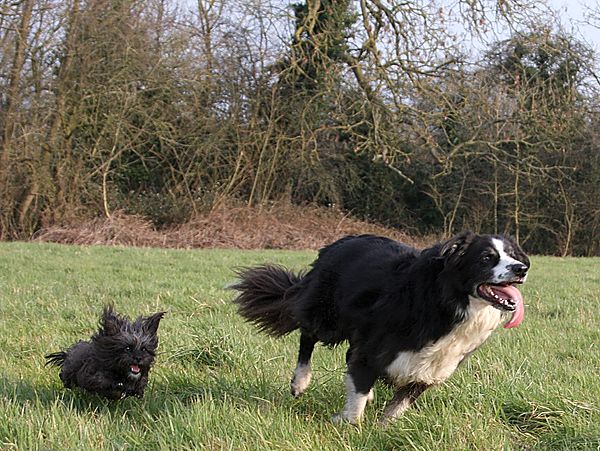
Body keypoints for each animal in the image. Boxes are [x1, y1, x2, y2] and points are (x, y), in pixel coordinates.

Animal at [232, 233, 528, 424]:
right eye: (486, 258)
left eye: (513, 255)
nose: (522, 268)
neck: (449, 302)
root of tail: (342, 241)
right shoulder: (375, 346)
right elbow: (359, 394)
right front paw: (349, 423)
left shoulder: (433, 366)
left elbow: (398, 406)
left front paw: (383, 428)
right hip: (327, 315)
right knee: (308, 336)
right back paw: (300, 382)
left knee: (346, 354)